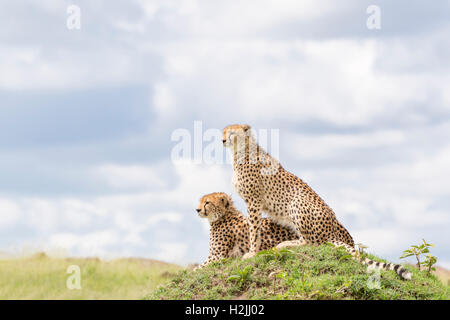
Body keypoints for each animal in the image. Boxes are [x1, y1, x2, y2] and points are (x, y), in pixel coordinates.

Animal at [221, 124, 412, 278]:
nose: (223, 140)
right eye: (223, 132)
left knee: (312, 242)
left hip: (296, 202)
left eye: (232, 133)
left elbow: (254, 229)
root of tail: (332, 227)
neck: (241, 151)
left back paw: (284, 244)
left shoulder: (253, 200)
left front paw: (252, 253)